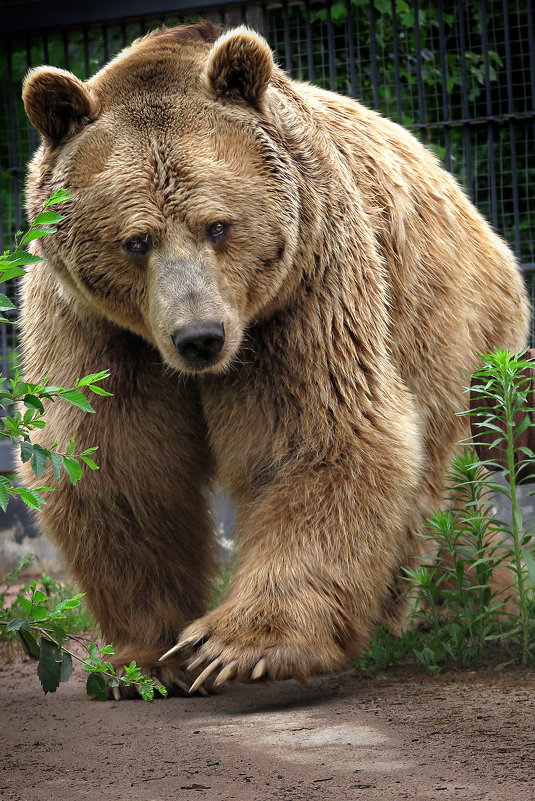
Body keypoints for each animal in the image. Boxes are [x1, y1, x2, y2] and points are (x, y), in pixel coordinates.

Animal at [21, 18, 532, 692]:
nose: (200, 336)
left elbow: (316, 435)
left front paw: (238, 646)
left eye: (218, 225)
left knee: (450, 483)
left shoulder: (302, 295)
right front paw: (147, 656)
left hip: (446, 325)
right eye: (136, 241)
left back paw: (458, 609)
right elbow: (116, 465)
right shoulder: (98, 332)